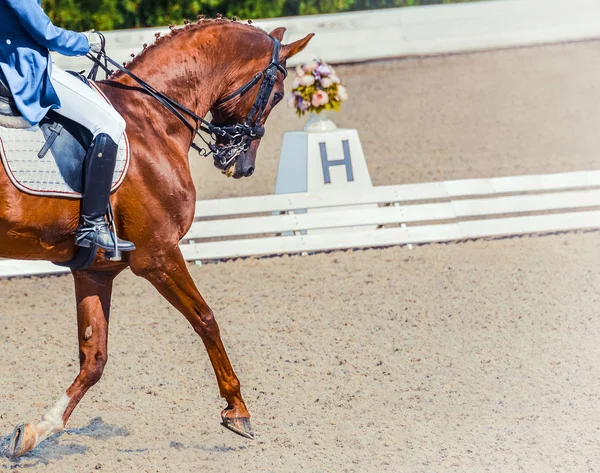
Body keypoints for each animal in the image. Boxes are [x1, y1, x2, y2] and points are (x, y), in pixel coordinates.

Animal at [1, 19, 314, 458]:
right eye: (279, 94)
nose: (244, 166)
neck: (152, 116)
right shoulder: (159, 255)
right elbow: (206, 320)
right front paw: (237, 410)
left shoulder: (95, 270)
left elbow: (94, 358)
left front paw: (36, 431)